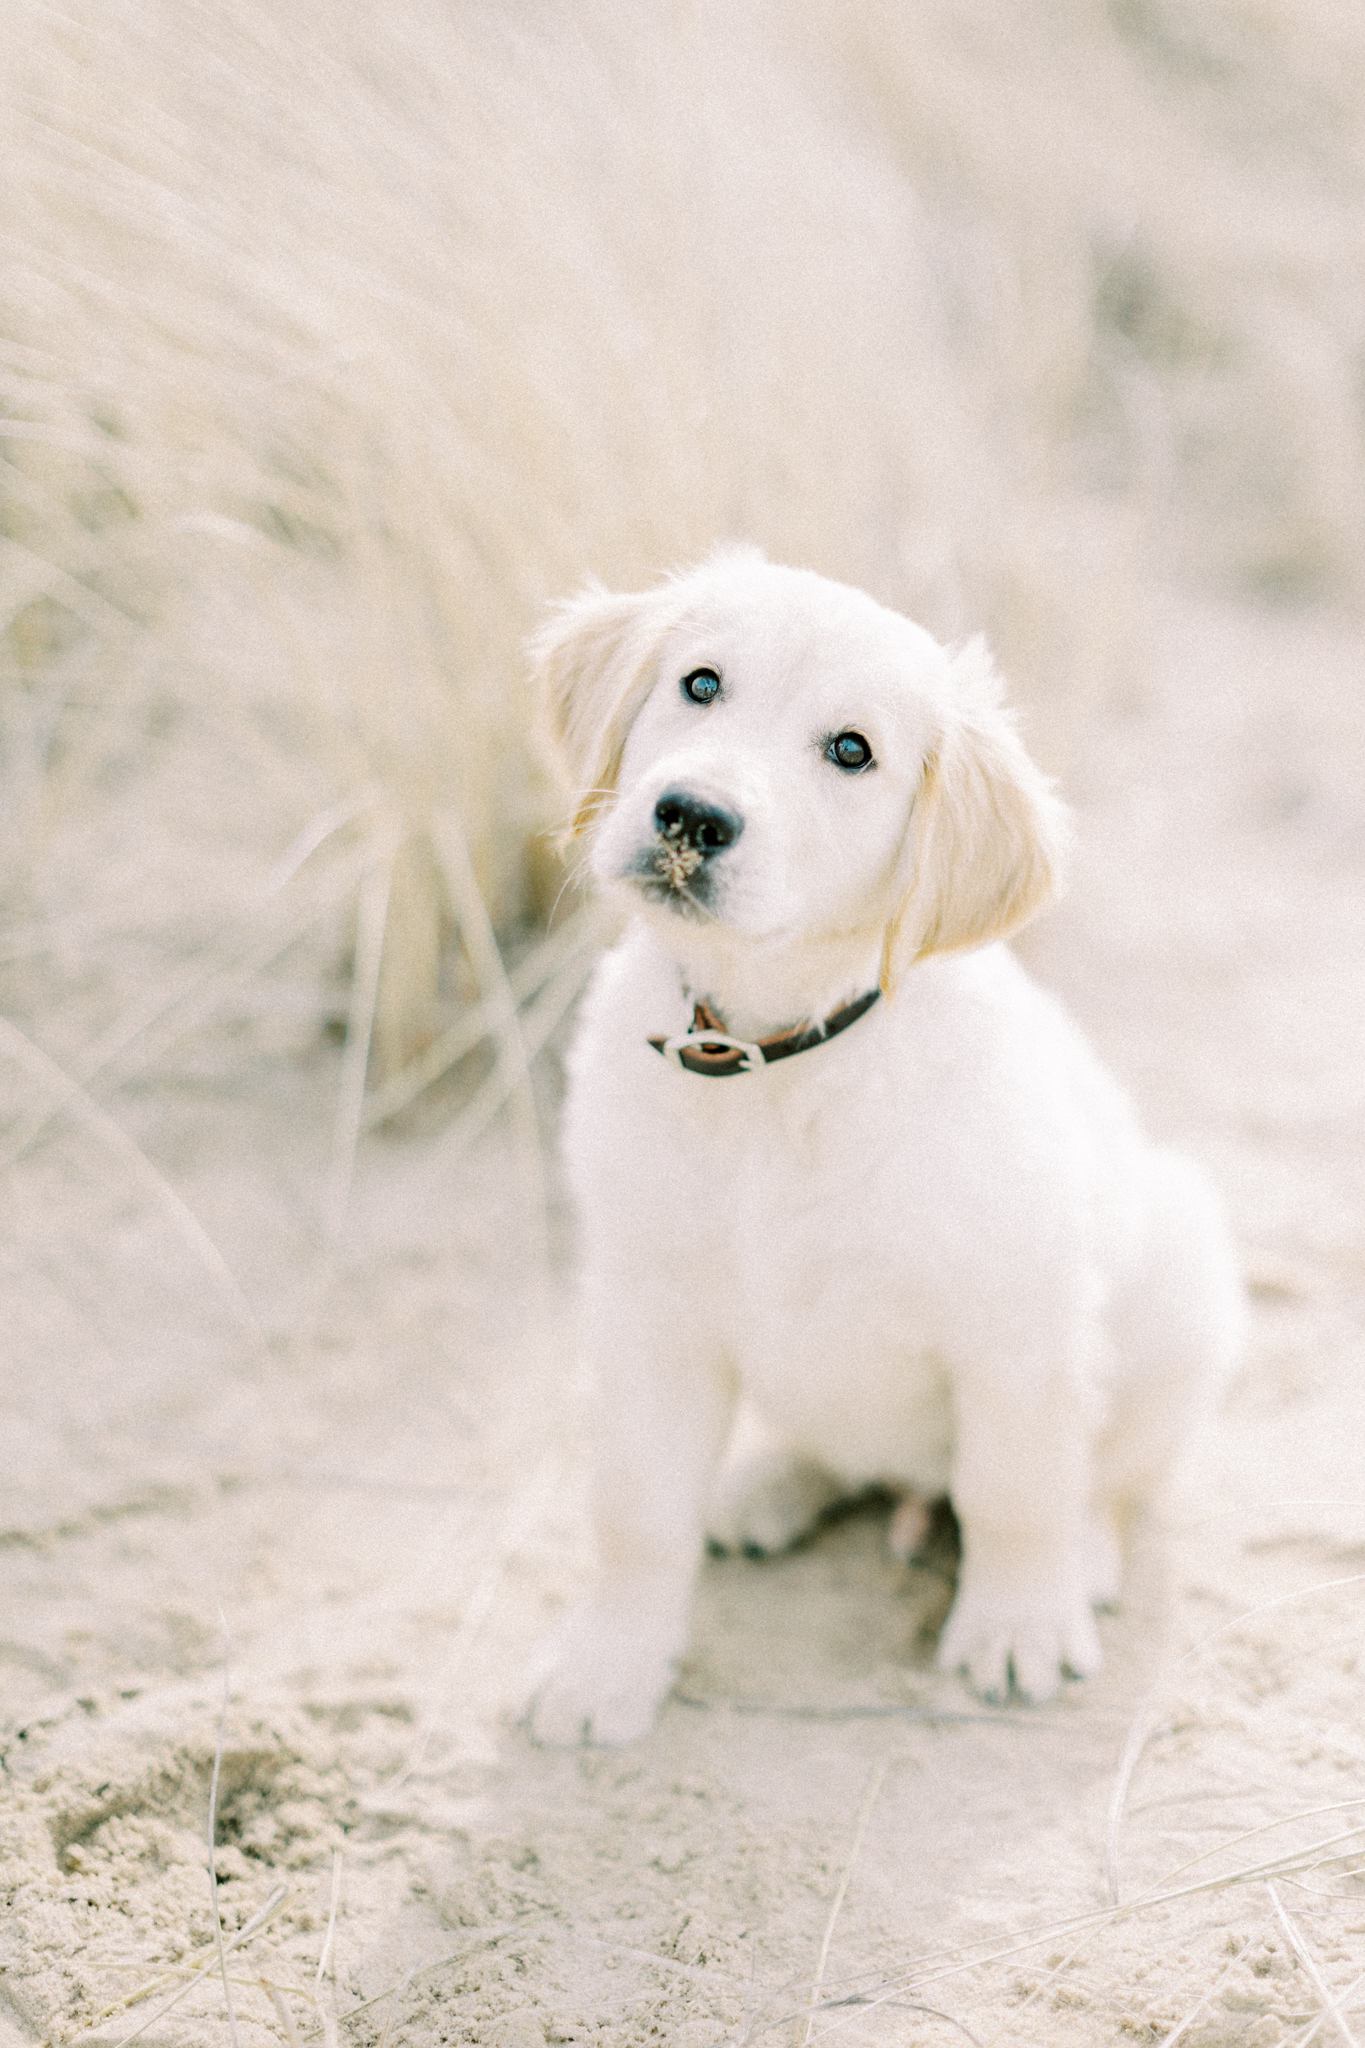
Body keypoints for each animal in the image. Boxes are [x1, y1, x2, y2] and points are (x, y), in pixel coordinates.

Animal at [527, 548, 1244, 1744]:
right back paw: (766, 1486)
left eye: (851, 751)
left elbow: (1013, 1489)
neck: (773, 1062)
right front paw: (608, 1661)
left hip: (1184, 1277)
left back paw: (1082, 1554)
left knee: (1101, 1475)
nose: (690, 815)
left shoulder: (1017, 1322)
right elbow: (635, 1511)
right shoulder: (646, 1313)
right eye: (699, 683)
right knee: (835, 1454)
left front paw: (1016, 1623)